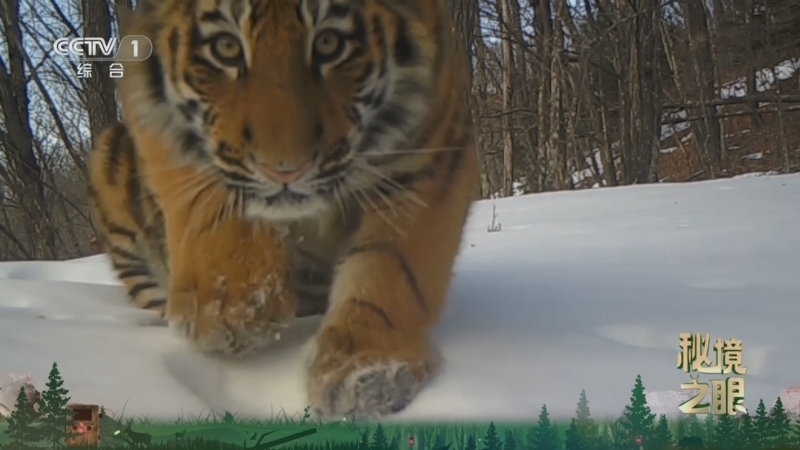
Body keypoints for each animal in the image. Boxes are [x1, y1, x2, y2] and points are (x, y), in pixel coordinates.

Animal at [87, 0, 478, 419]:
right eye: (226, 47)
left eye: (329, 43)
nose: (285, 170)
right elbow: (204, 189)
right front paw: (229, 306)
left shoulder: (428, 149)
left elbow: (391, 268)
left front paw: (367, 370)